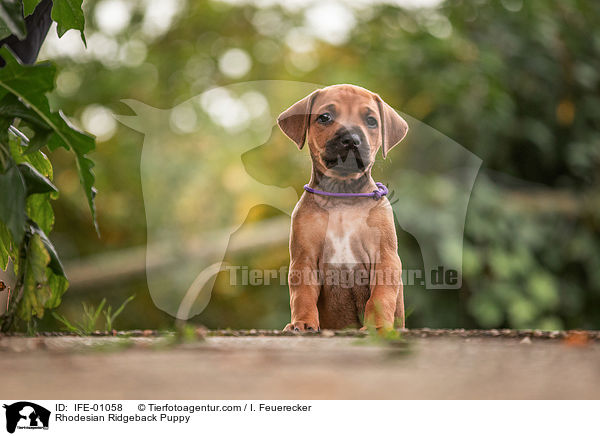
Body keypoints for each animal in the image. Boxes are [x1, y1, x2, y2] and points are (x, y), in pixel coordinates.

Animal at [276, 84, 408, 330]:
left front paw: (377, 326)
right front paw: (303, 321)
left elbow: (380, 297)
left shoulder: (385, 257)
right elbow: (302, 295)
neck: (342, 198)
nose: (351, 139)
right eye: (325, 117)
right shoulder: (304, 259)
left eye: (371, 121)